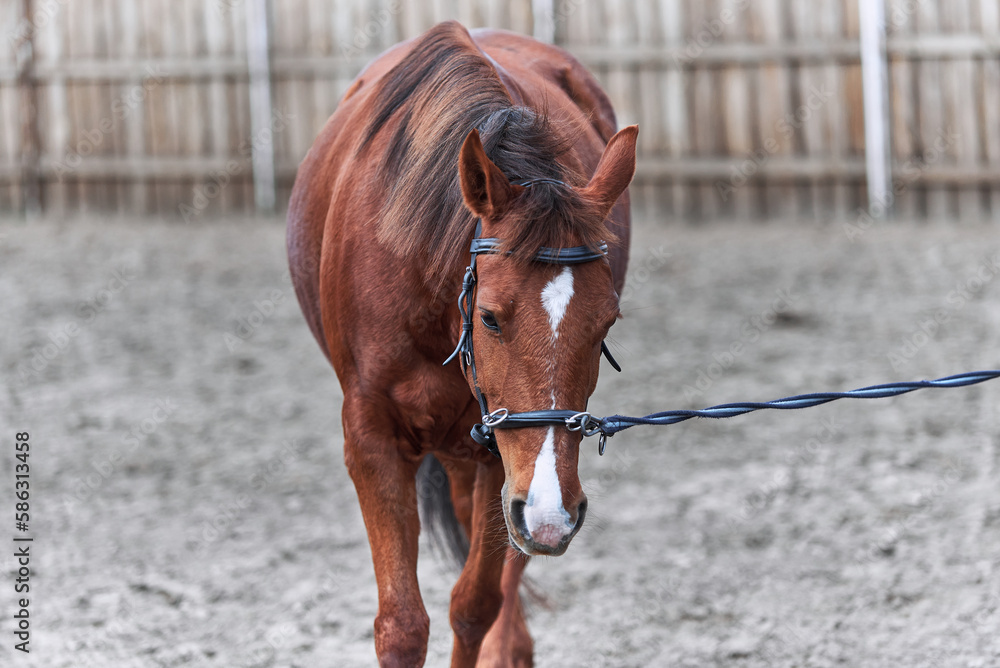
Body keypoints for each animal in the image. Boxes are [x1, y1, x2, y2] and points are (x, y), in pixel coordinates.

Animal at [286, 20, 636, 667]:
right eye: (492, 319)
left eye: (606, 324)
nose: (555, 512)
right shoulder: (372, 440)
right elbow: (401, 626)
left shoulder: (504, 450)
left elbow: (474, 605)